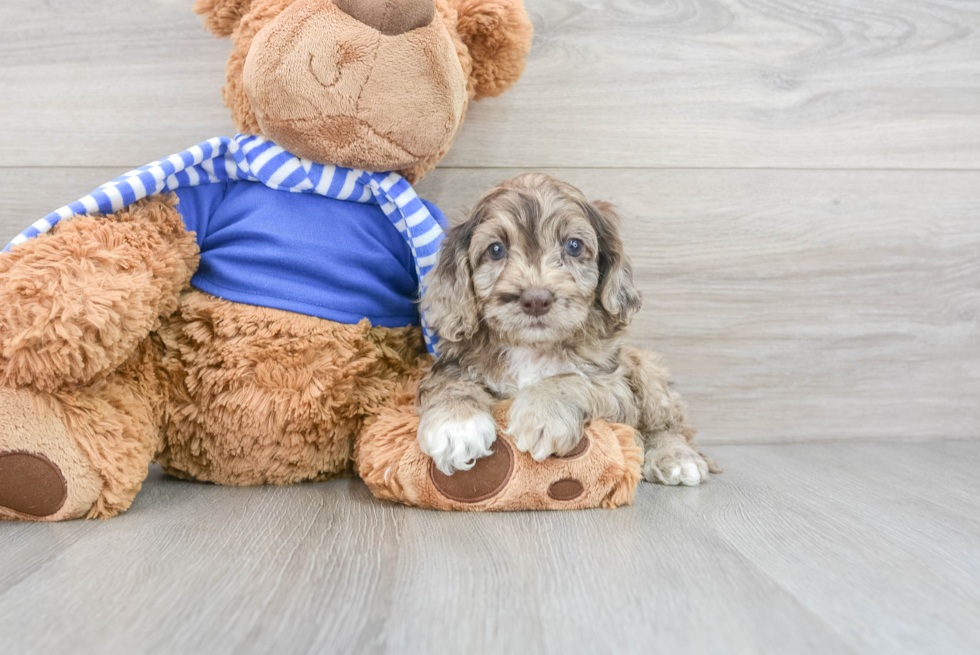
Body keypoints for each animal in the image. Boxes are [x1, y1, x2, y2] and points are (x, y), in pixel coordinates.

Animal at [416, 174, 720, 486]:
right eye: (496, 250)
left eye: (574, 246)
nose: (536, 300)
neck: (532, 348)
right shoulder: (455, 362)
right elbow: (450, 383)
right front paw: (455, 425)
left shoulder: (615, 385)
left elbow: (572, 378)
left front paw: (541, 414)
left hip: (645, 367)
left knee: (669, 424)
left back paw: (676, 457)